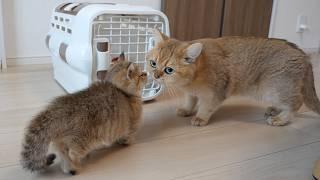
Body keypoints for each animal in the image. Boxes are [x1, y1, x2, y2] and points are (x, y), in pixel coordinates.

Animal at [148, 29, 320, 126]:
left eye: (169, 70)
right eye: (153, 63)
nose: (155, 75)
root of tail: (303, 55)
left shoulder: (215, 94)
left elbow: (206, 107)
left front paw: (200, 118)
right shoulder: (191, 93)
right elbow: (190, 101)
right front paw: (186, 110)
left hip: (273, 89)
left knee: (296, 103)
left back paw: (281, 119)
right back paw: (274, 110)